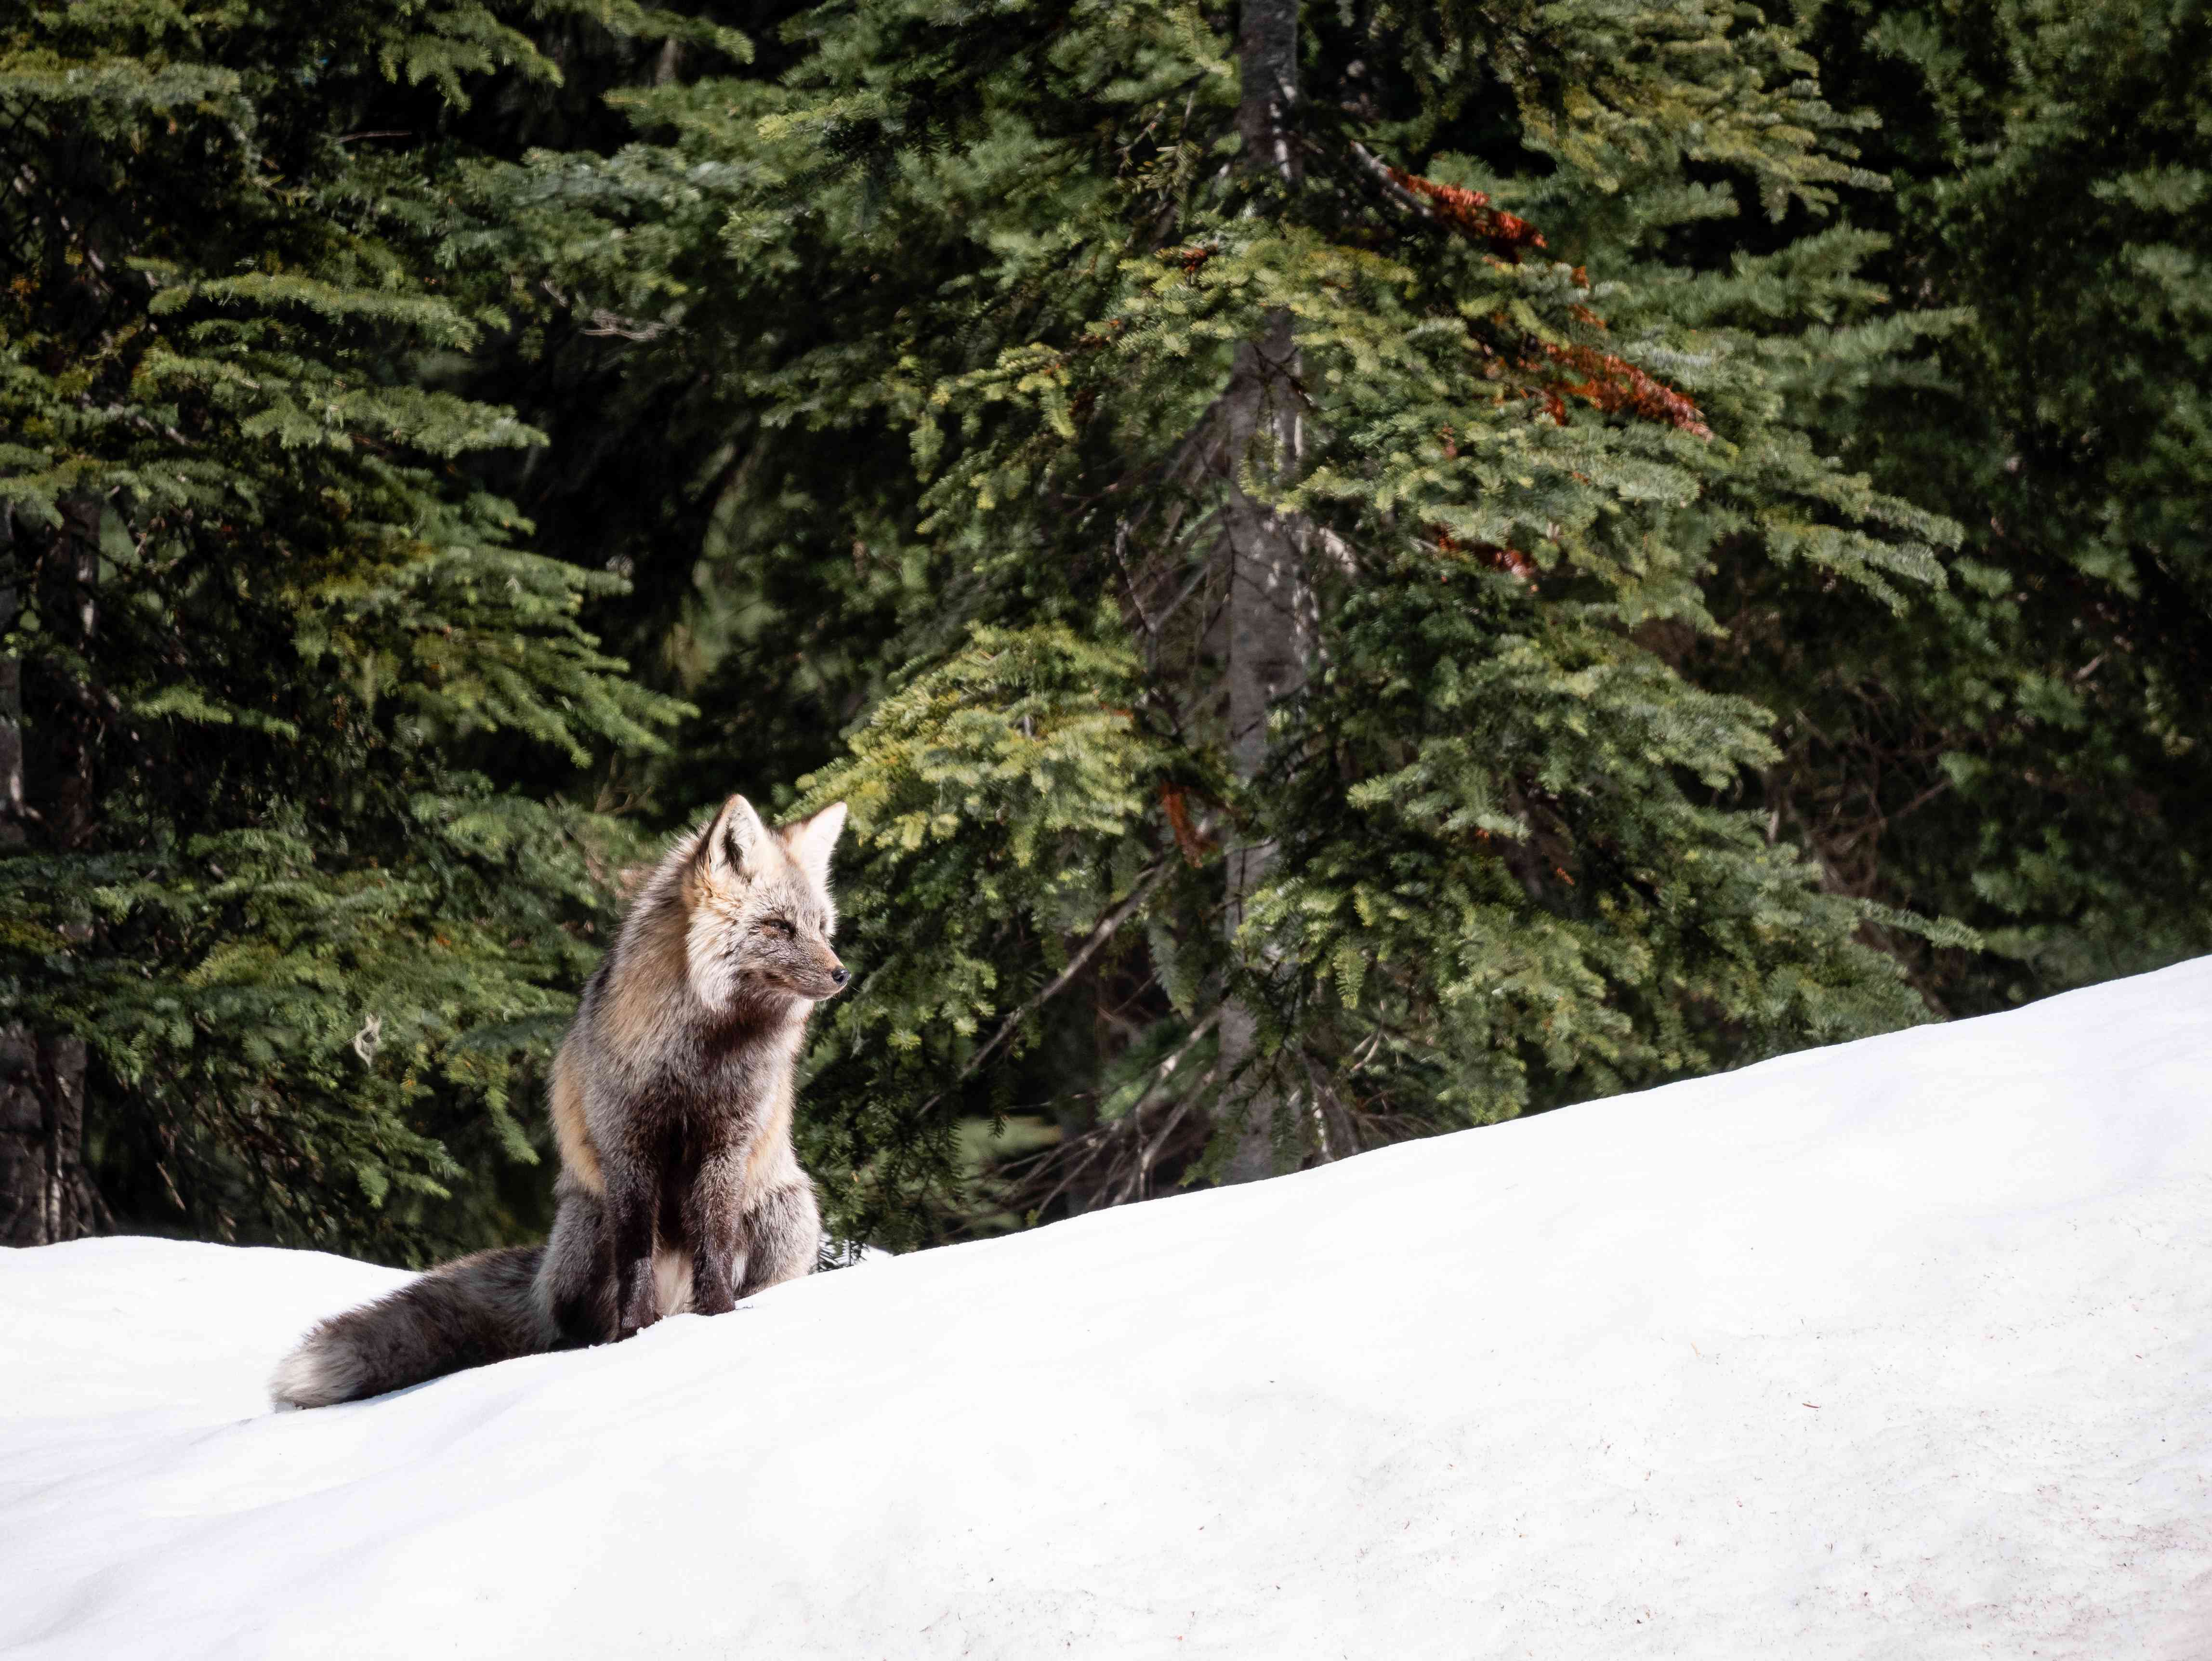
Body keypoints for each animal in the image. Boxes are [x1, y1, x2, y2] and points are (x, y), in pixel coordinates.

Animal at [270, 791, 854, 1407]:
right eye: (777, 926)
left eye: (820, 927)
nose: (843, 974)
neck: (701, 1062)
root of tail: (542, 1271)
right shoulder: (626, 1150)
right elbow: (635, 1256)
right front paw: (636, 1336)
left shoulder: (726, 1145)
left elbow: (714, 1246)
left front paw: (717, 1318)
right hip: (587, 1225)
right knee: (564, 1326)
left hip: (786, 1214)